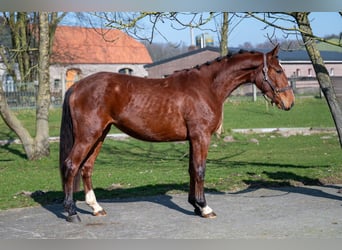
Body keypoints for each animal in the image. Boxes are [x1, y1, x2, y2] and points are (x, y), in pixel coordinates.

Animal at [58, 44, 294, 222]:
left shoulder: (193, 139)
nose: (289, 102)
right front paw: (205, 208)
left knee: (86, 168)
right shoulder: (201, 137)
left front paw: (195, 205)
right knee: (71, 165)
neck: (206, 87)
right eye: (278, 71)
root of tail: (76, 86)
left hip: (100, 135)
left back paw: (96, 207)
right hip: (88, 135)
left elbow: (191, 170)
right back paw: (71, 212)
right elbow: (200, 170)